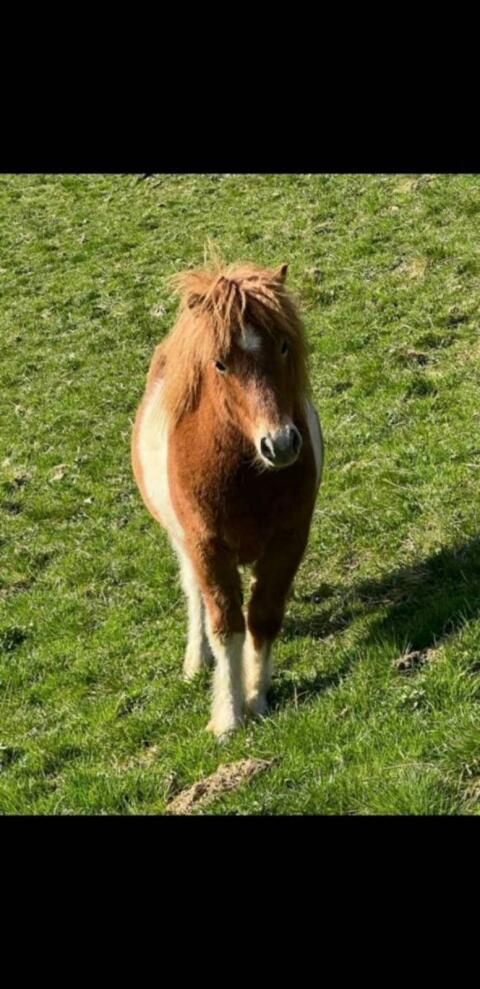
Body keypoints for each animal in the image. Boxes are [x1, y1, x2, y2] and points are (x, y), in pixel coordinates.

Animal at [131, 259, 323, 738]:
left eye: (284, 346)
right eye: (220, 364)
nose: (281, 444)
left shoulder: (288, 542)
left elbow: (262, 618)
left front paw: (257, 700)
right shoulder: (207, 548)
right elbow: (226, 626)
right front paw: (228, 717)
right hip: (183, 543)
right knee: (194, 596)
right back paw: (195, 662)